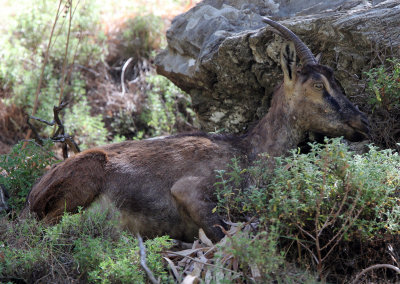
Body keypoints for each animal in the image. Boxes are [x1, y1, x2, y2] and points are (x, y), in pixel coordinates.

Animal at [26, 18, 370, 242]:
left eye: (337, 79)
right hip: (83, 179)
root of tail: (32, 196)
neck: (250, 152)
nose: (362, 122)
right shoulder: (191, 189)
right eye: (318, 85)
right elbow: (220, 233)